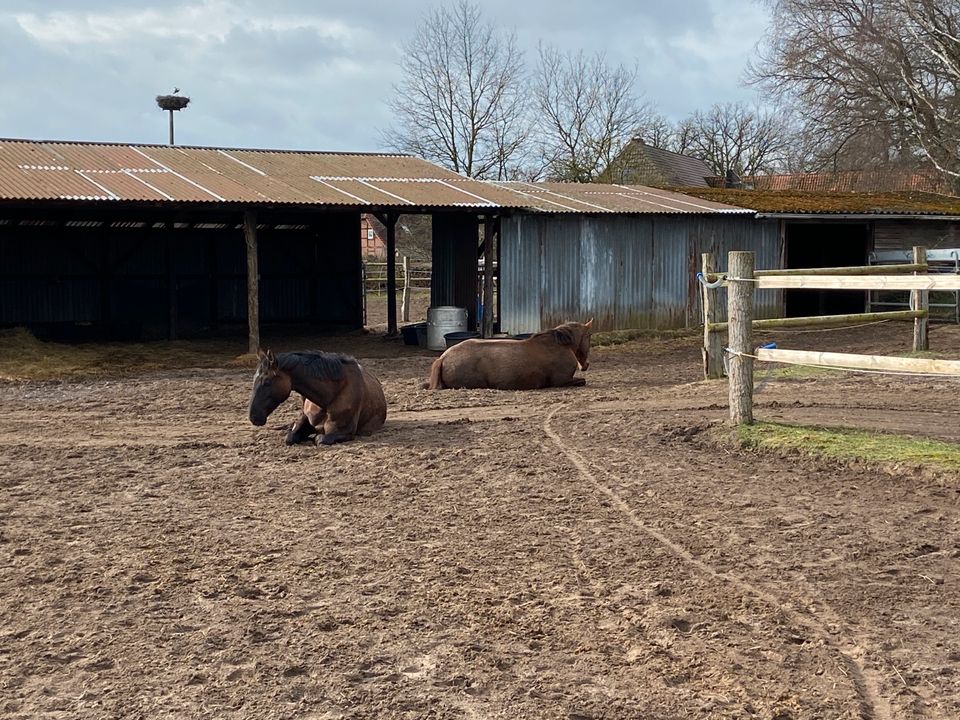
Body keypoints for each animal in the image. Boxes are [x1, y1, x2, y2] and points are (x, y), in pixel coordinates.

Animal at [249, 348, 388, 444]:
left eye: (267, 382)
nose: (253, 417)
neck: (327, 400)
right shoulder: (304, 419)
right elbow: (290, 437)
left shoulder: (344, 433)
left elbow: (319, 439)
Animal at [426, 320, 592, 390]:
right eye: (589, 336)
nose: (585, 365)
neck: (558, 344)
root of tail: (443, 358)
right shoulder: (562, 381)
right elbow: (582, 381)